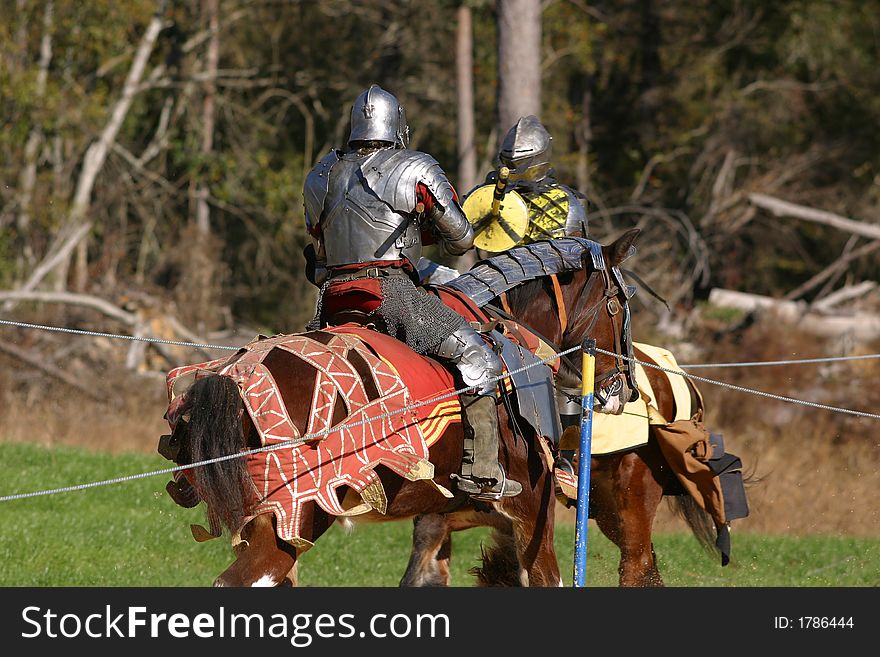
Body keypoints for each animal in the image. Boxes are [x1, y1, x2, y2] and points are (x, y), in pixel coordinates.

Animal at [158, 229, 640, 584]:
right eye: (618, 305)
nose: (625, 389)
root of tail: (234, 379)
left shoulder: (442, 518)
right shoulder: (530, 512)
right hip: (295, 511)